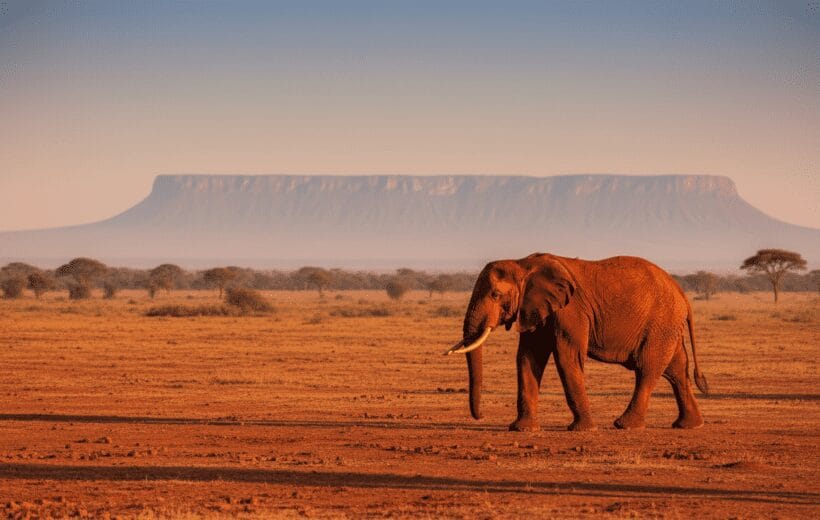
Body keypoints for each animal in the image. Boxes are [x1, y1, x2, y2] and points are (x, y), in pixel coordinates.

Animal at [444, 252, 709, 431]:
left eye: (496, 295)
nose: (480, 416)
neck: (523, 263)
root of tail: (682, 293)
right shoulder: (535, 309)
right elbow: (528, 358)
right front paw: (521, 429)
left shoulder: (571, 310)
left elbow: (567, 357)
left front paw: (583, 430)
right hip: (666, 326)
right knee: (676, 369)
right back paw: (689, 425)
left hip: (660, 323)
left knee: (647, 368)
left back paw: (624, 424)